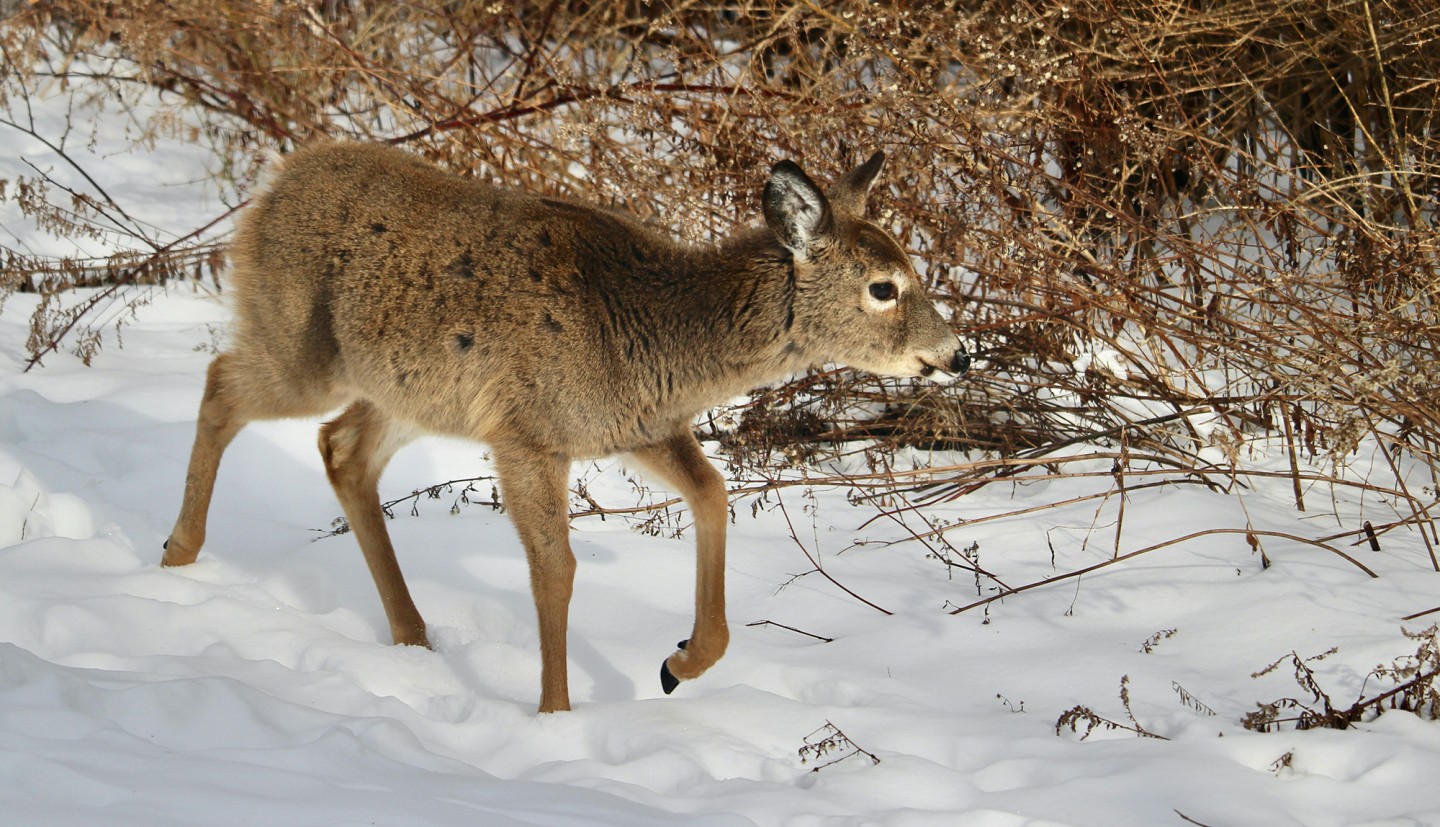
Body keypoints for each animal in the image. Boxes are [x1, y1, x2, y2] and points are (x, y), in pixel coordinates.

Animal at [162, 141, 968, 713]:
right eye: (884, 287)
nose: (957, 353)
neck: (660, 337)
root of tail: (273, 184)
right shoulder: (528, 432)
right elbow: (556, 570)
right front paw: (555, 715)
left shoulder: (638, 426)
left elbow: (712, 493)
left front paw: (680, 663)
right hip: (302, 348)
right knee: (222, 386)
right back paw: (177, 557)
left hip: (407, 394)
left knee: (340, 449)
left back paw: (413, 637)